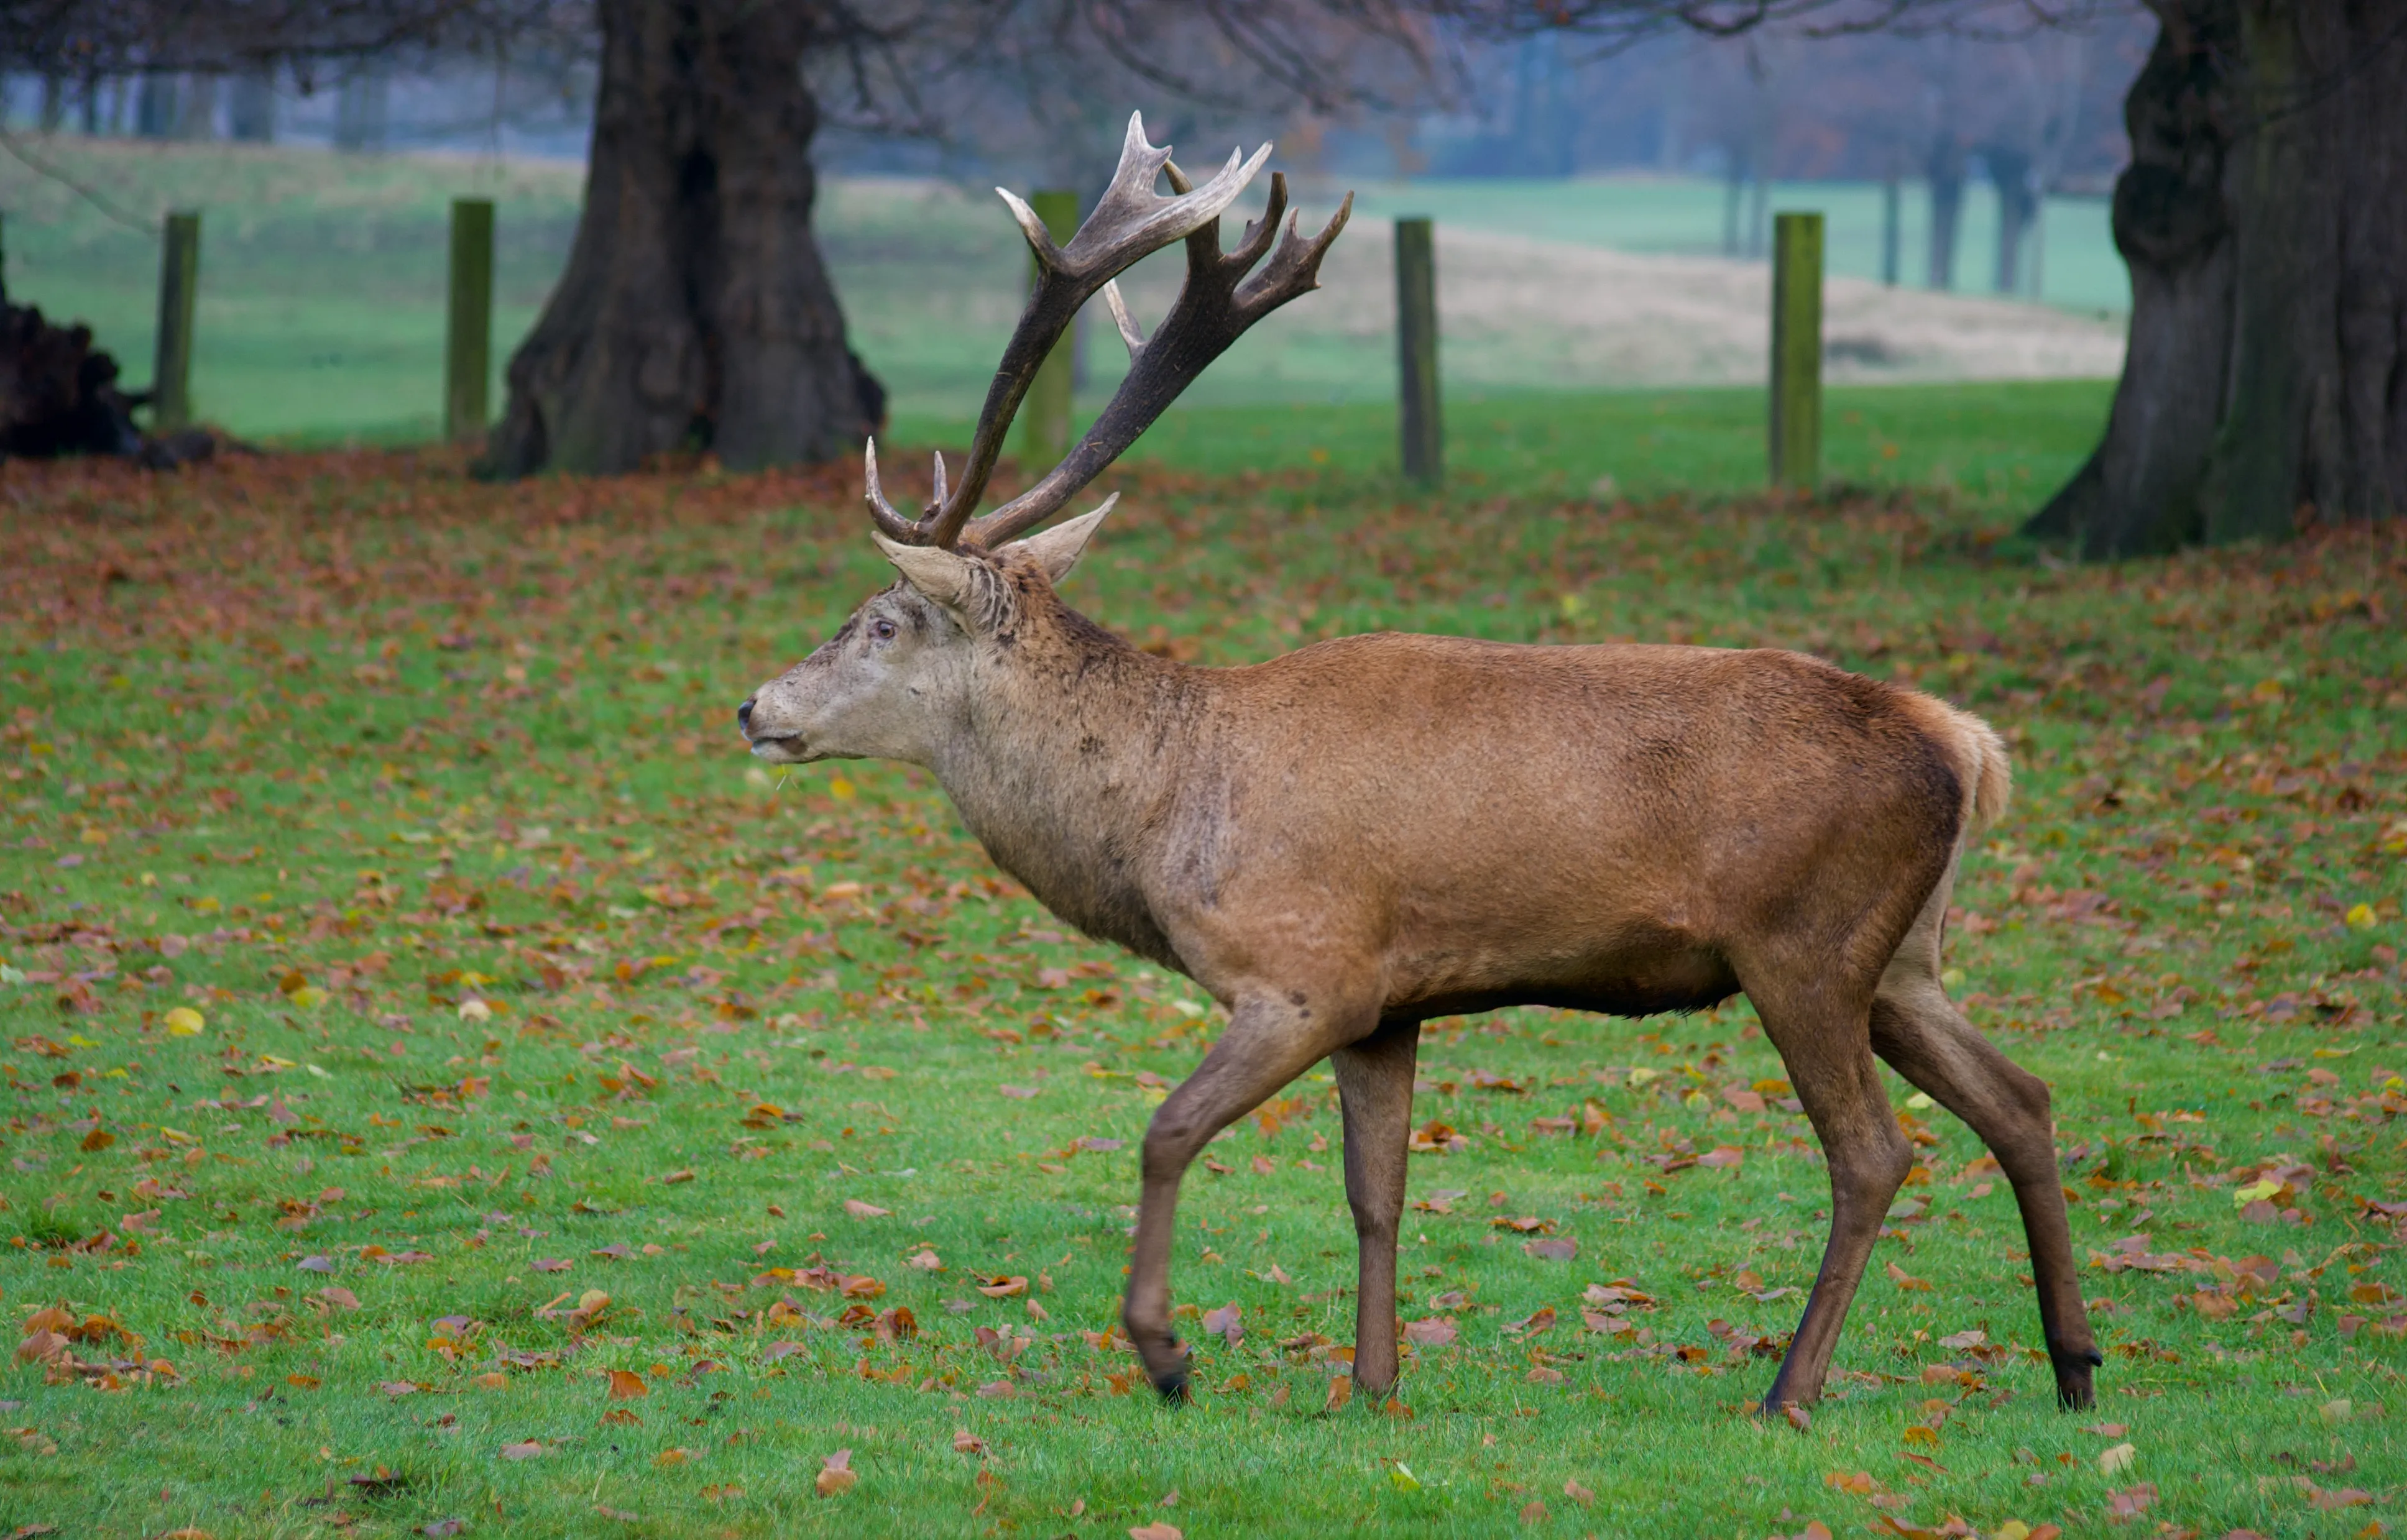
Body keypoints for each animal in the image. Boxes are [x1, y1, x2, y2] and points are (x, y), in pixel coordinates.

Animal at [737, 112, 2101, 1415]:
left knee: (1874, 1151)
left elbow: (1165, 1132)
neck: (1165, 812)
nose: (755, 705)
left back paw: (1790, 1391)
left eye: (880, 621)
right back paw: (2073, 1364)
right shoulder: (1391, 1005)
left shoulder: (1304, 972)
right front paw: (1371, 1383)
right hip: (1905, 953)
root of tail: (1964, 744)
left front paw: (1167, 1353)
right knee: (2022, 1098)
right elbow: (1375, 1188)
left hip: (1803, 942)